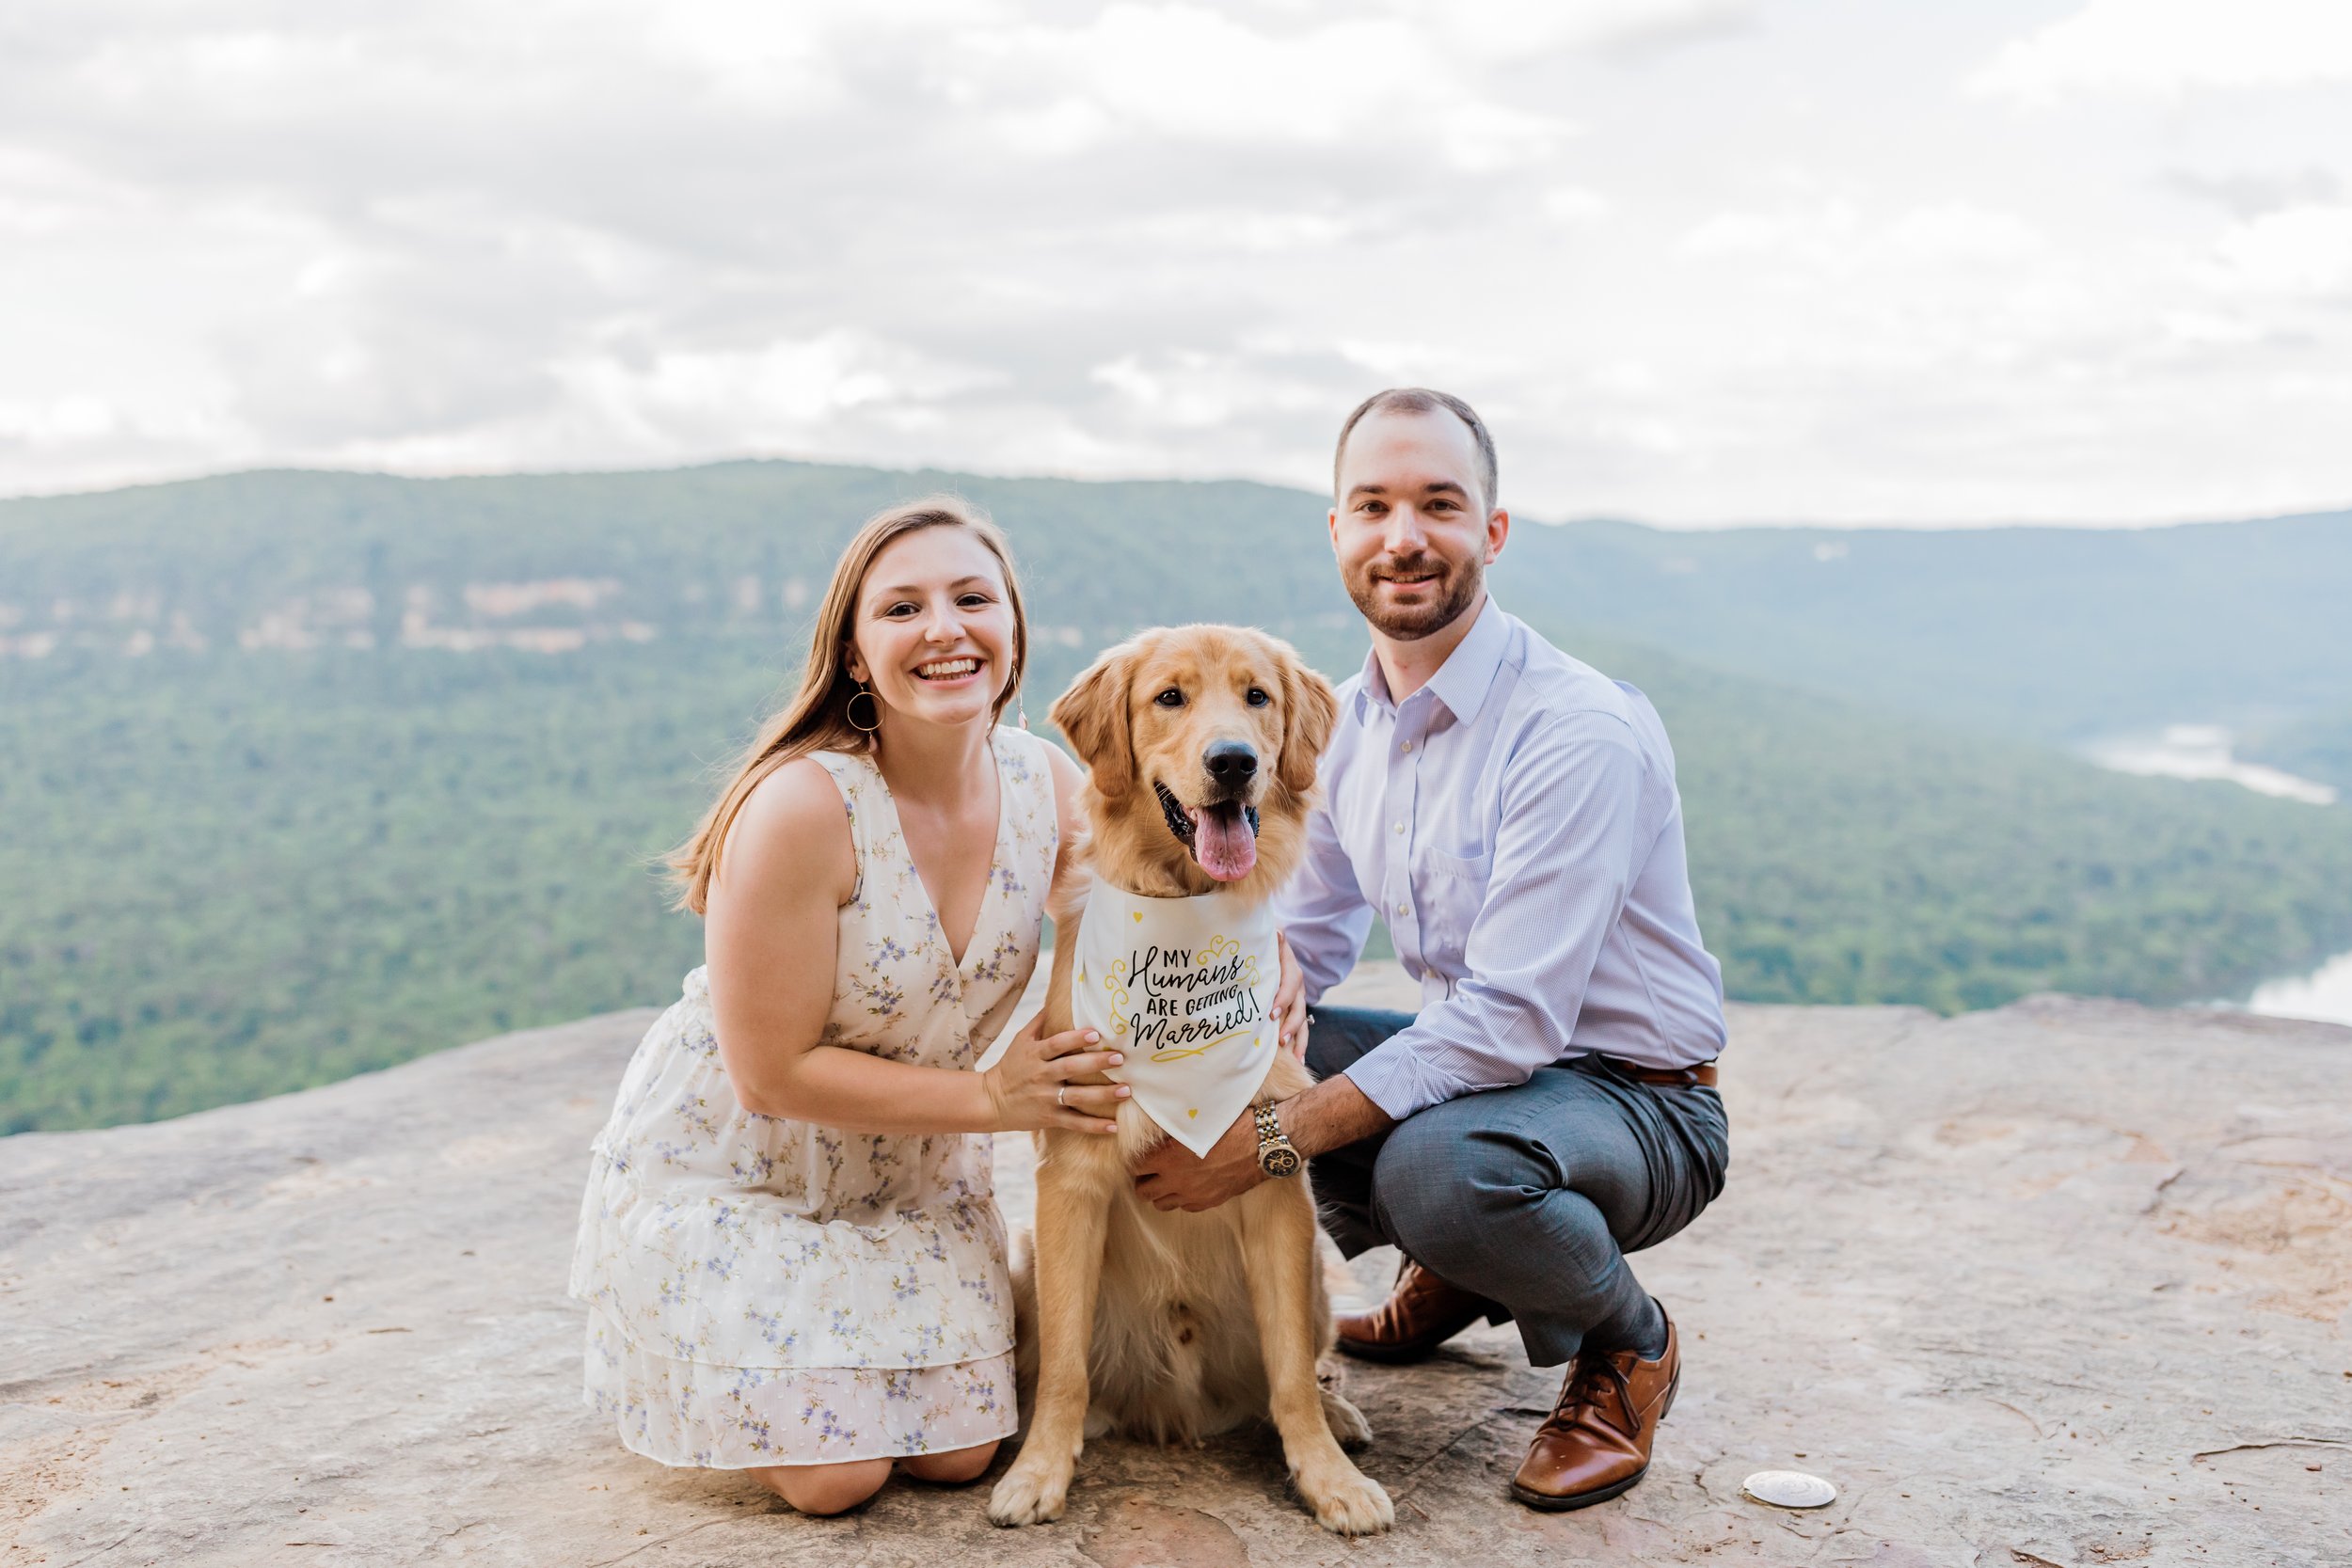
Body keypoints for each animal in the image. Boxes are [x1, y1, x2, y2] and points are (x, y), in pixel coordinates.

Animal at [978, 625, 1383, 1532]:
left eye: (1257, 696)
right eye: (1170, 698)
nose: (1233, 761)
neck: (1183, 908)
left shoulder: (1278, 1188)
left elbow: (1291, 1374)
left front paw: (1327, 1476)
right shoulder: (1072, 1174)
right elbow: (1063, 1368)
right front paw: (1039, 1470)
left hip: (1316, 1260)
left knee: (1295, 1371)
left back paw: (1341, 1417)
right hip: (1025, 1254)